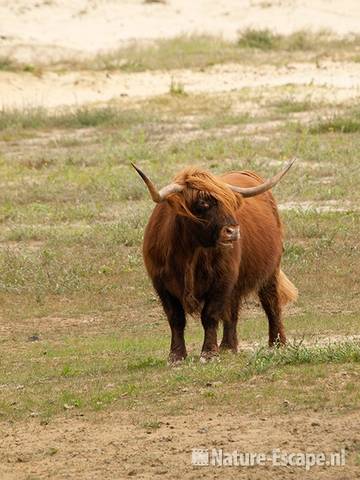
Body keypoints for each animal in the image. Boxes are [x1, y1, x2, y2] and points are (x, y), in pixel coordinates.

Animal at [134, 159, 296, 362]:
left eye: (231, 203)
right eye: (203, 203)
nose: (233, 231)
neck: (189, 253)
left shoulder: (222, 280)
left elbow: (210, 315)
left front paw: (209, 353)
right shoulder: (161, 284)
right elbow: (176, 318)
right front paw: (176, 356)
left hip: (270, 270)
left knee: (271, 303)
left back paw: (277, 344)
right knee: (232, 311)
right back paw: (228, 346)